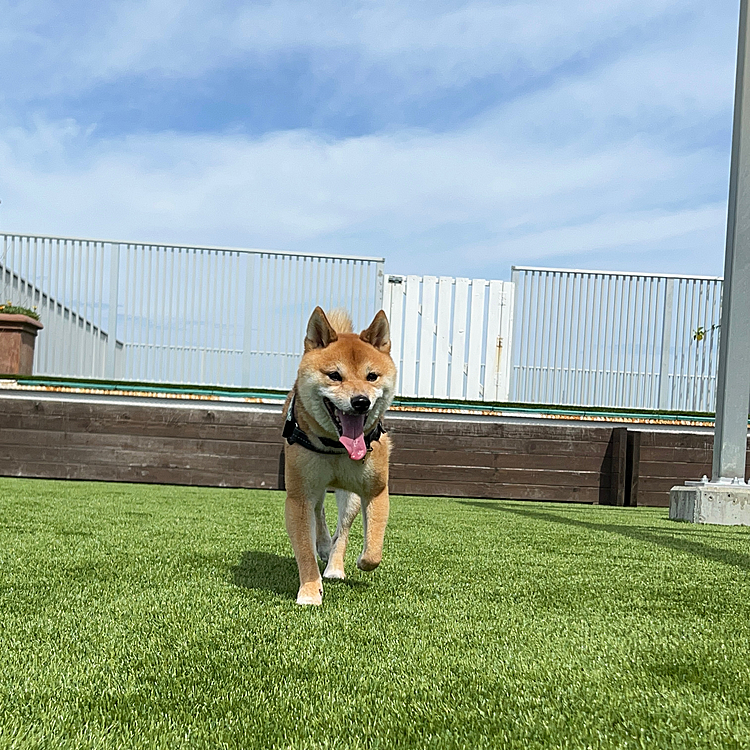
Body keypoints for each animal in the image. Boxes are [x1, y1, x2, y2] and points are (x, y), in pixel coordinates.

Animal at [284, 306, 400, 604]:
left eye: (372, 376)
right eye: (334, 375)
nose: (361, 402)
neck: (336, 447)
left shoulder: (375, 491)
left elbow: (373, 550)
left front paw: (361, 561)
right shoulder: (299, 497)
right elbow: (304, 549)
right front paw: (309, 591)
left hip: (351, 497)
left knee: (343, 529)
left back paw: (335, 566)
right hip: (314, 488)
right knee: (320, 514)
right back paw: (324, 546)